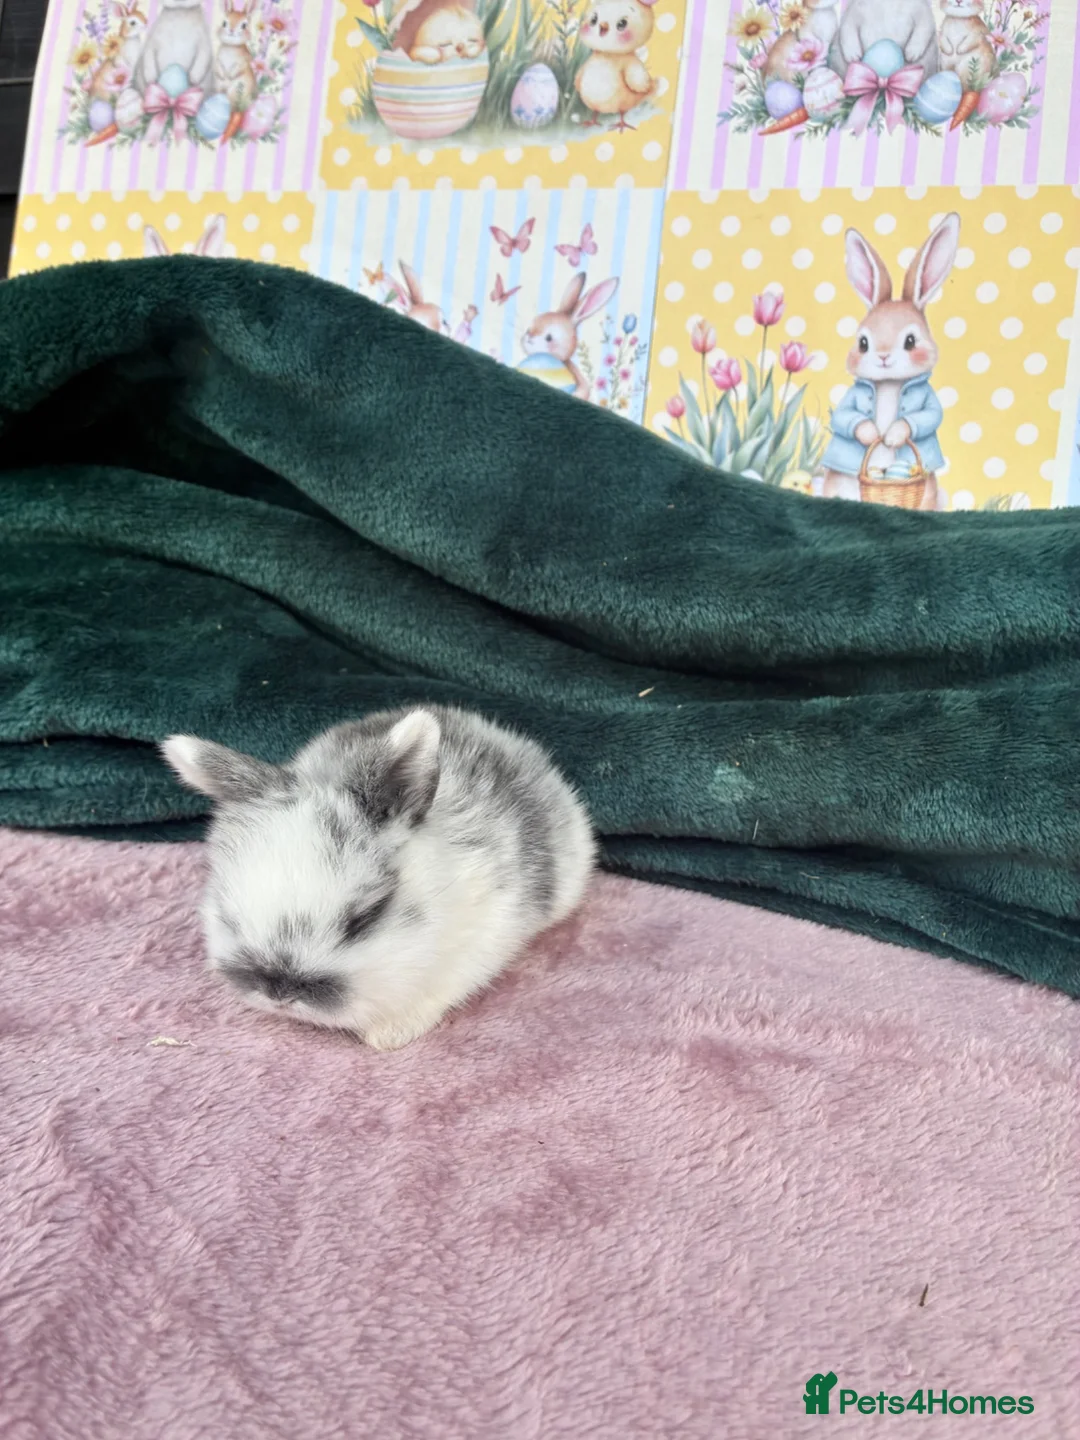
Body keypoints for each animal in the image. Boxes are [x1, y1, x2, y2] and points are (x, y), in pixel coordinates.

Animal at [575, 0, 658, 131]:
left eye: (622, 24)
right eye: (594, 19)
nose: (603, 26)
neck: (607, 54)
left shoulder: (632, 64)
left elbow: (638, 80)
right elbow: (578, 78)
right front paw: (590, 122)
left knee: (622, 112)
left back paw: (622, 124)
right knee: (596, 111)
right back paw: (592, 122)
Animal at [820, 212, 960, 511]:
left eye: (910, 341)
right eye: (863, 343)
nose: (883, 357)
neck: (889, 385)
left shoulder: (927, 402)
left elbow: (927, 415)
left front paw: (891, 437)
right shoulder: (851, 399)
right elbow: (845, 415)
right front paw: (872, 435)